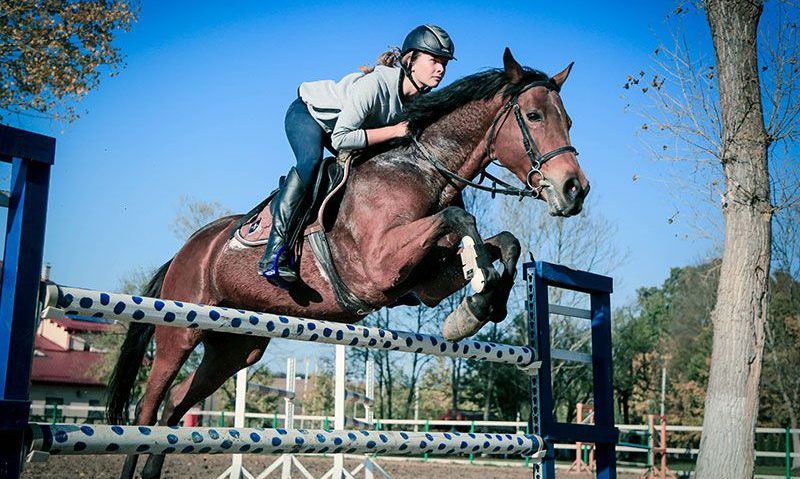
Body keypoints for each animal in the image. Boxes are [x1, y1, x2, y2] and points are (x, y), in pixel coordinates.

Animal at [106, 47, 588, 478]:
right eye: (534, 117)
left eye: (568, 121)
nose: (574, 190)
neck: (421, 169)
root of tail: (184, 251)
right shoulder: (379, 266)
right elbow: (459, 217)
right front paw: (478, 292)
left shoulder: (425, 283)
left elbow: (505, 241)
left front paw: (478, 307)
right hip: (179, 332)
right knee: (148, 408)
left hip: (235, 347)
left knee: (176, 405)